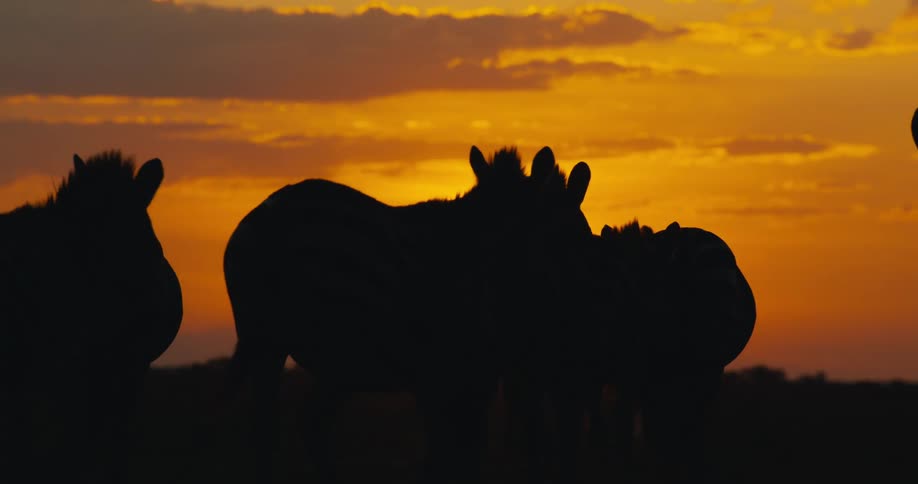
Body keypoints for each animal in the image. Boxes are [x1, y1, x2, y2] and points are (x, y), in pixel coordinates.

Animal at [223, 145, 592, 483]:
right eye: (563, 237)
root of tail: (262, 217)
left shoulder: (462, 376)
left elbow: (454, 455)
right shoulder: (453, 375)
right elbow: (453, 457)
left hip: (323, 356)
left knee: (298, 424)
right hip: (284, 345)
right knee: (271, 427)